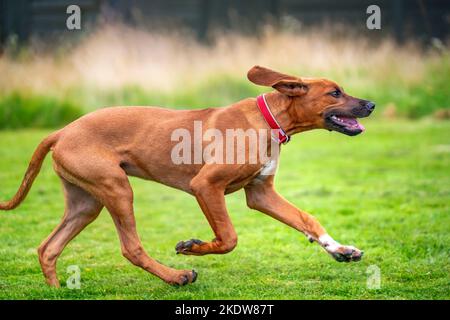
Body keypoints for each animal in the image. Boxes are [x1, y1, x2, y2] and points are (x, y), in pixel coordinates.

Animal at [0, 66, 374, 286]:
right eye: (335, 92)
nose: (370, 104)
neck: (269, 120)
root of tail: (61, 131)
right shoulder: (206, 186)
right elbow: (228, 238)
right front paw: (192, 247)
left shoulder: (261, 193)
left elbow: (307, 219)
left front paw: (341, 250)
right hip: (117, 189)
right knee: (131, 248)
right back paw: (177, 276)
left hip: (86, 202)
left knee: (48, 248)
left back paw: (56, 290)